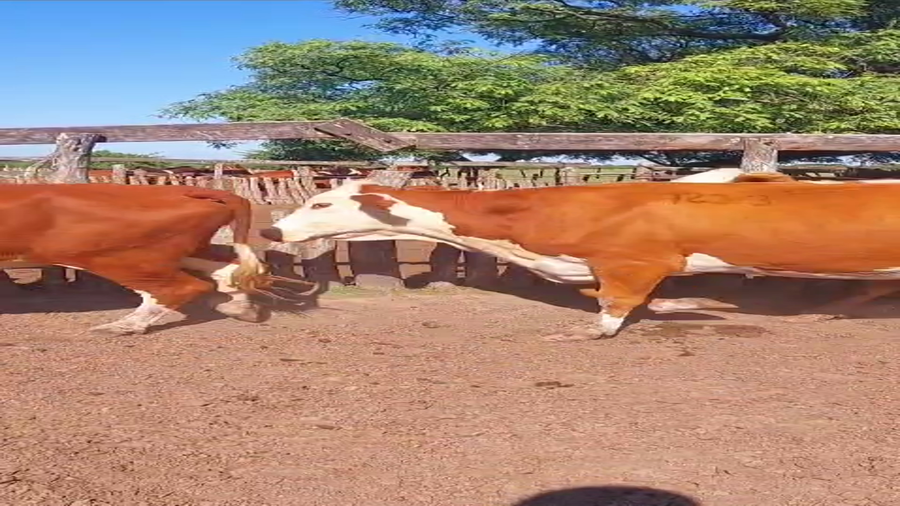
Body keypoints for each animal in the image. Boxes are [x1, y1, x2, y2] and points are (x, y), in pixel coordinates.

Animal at [0, 184, 275, 336]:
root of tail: (183, 190)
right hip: (185, 250)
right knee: (230, 270)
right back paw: (241, 308)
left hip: (117, 257)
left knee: (181, 288)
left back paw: (124, 326)